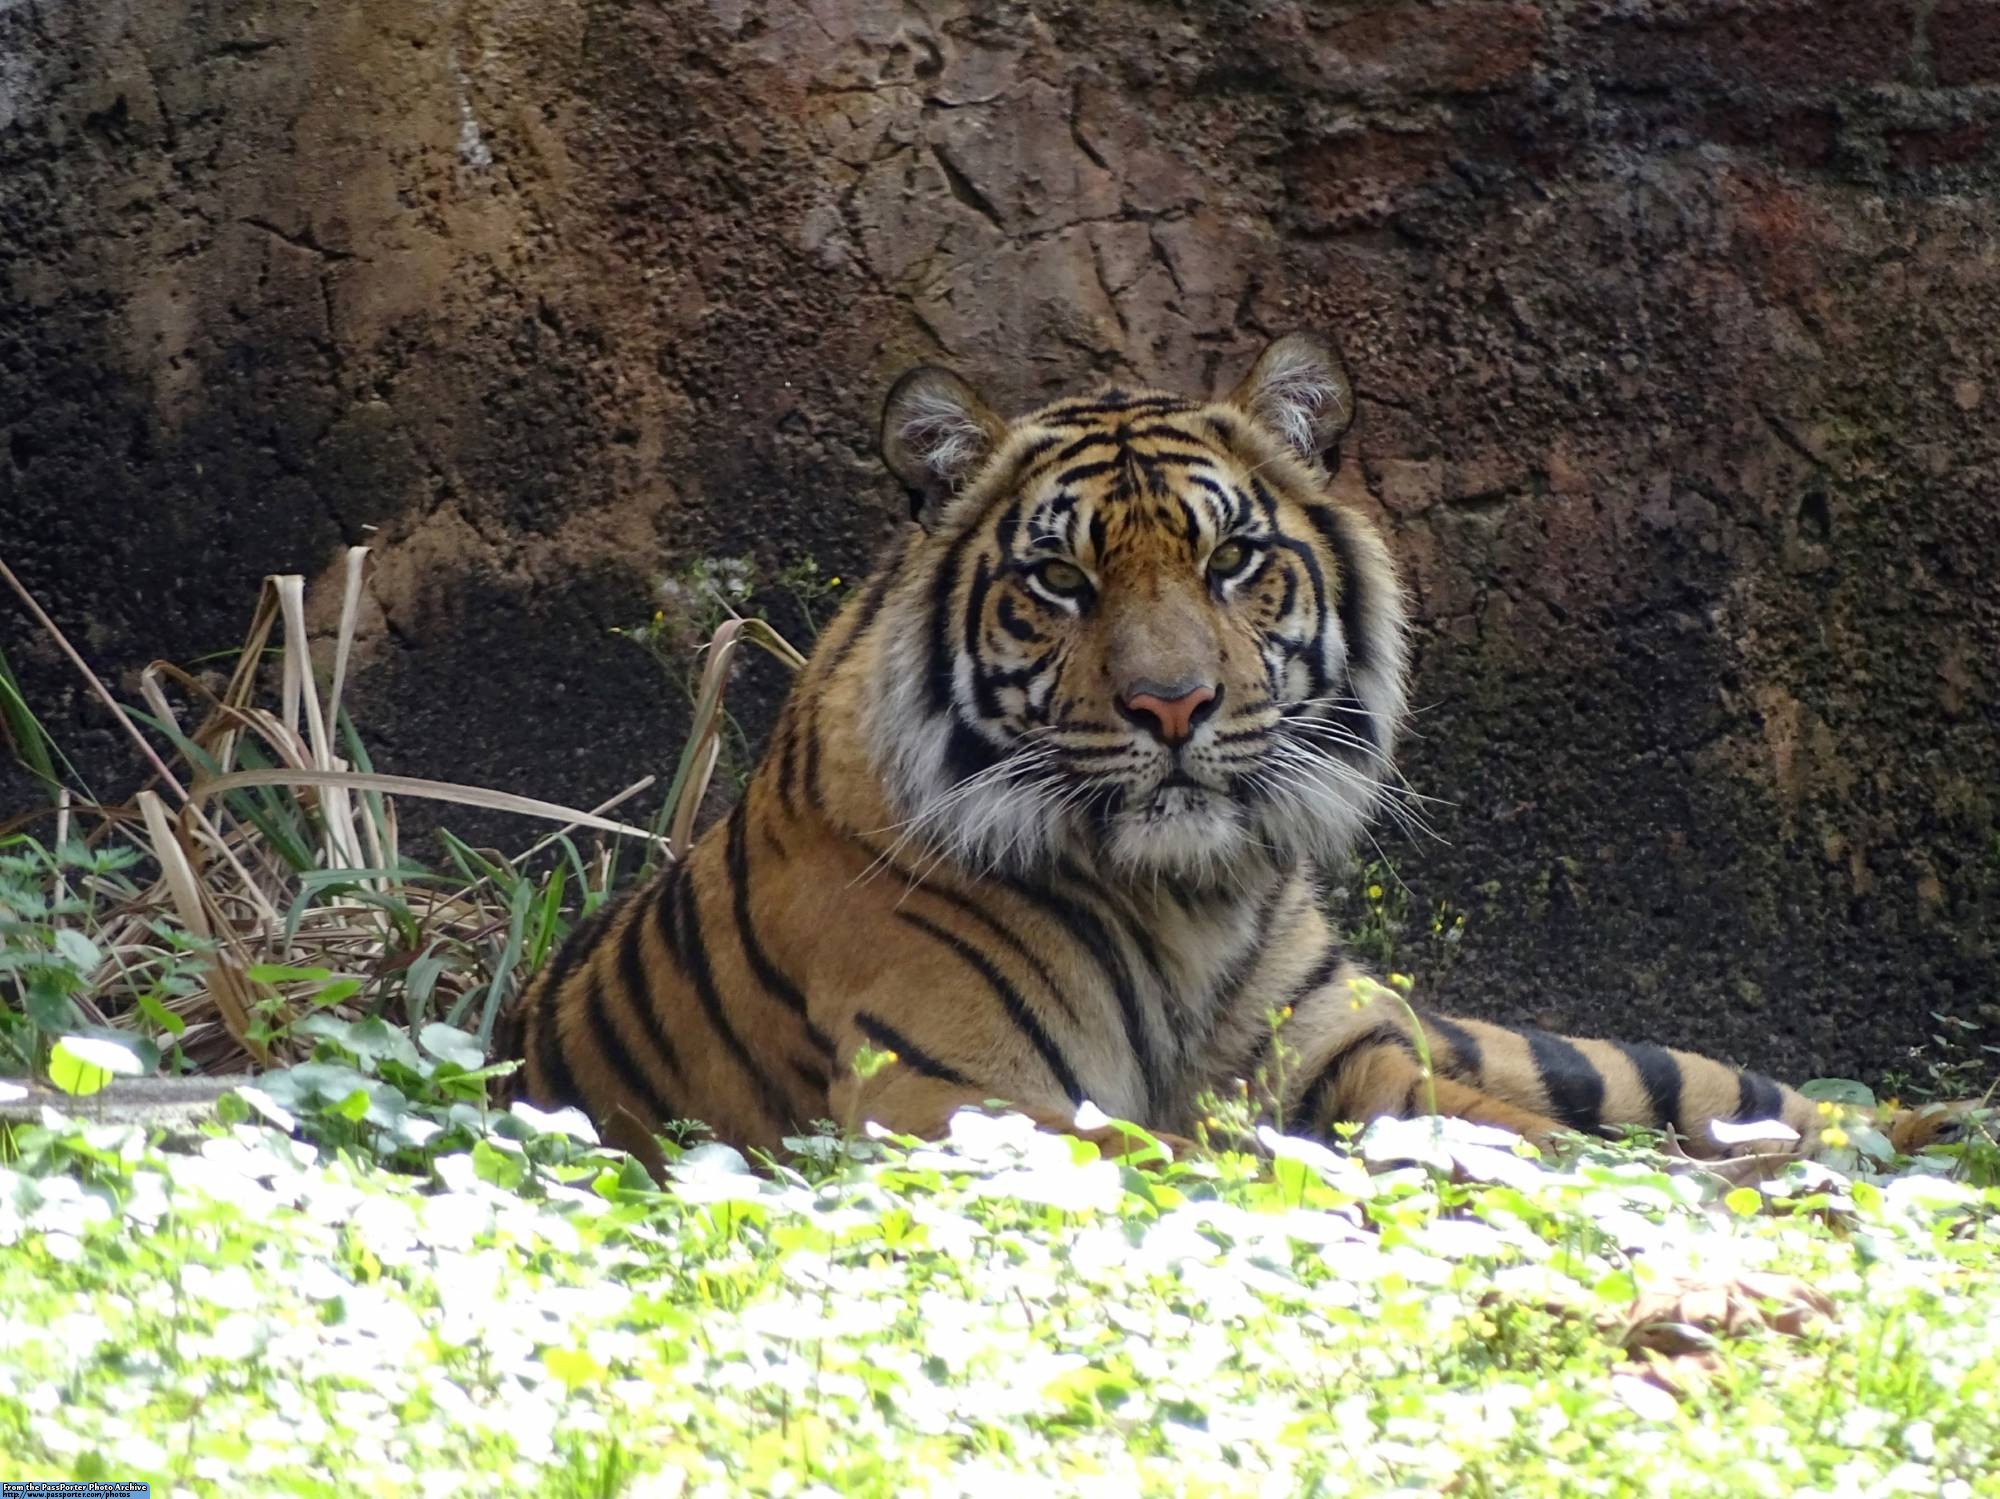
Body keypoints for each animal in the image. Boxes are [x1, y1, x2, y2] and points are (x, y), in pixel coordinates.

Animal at [492, 333, 1960, 1183]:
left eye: (1231, 559)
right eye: (1061, 579)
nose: (1174, 705)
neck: (1184, 899)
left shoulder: (1356, 1061)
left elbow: (1506, 1133)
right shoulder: (964, 1109)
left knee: (1754, 1098)